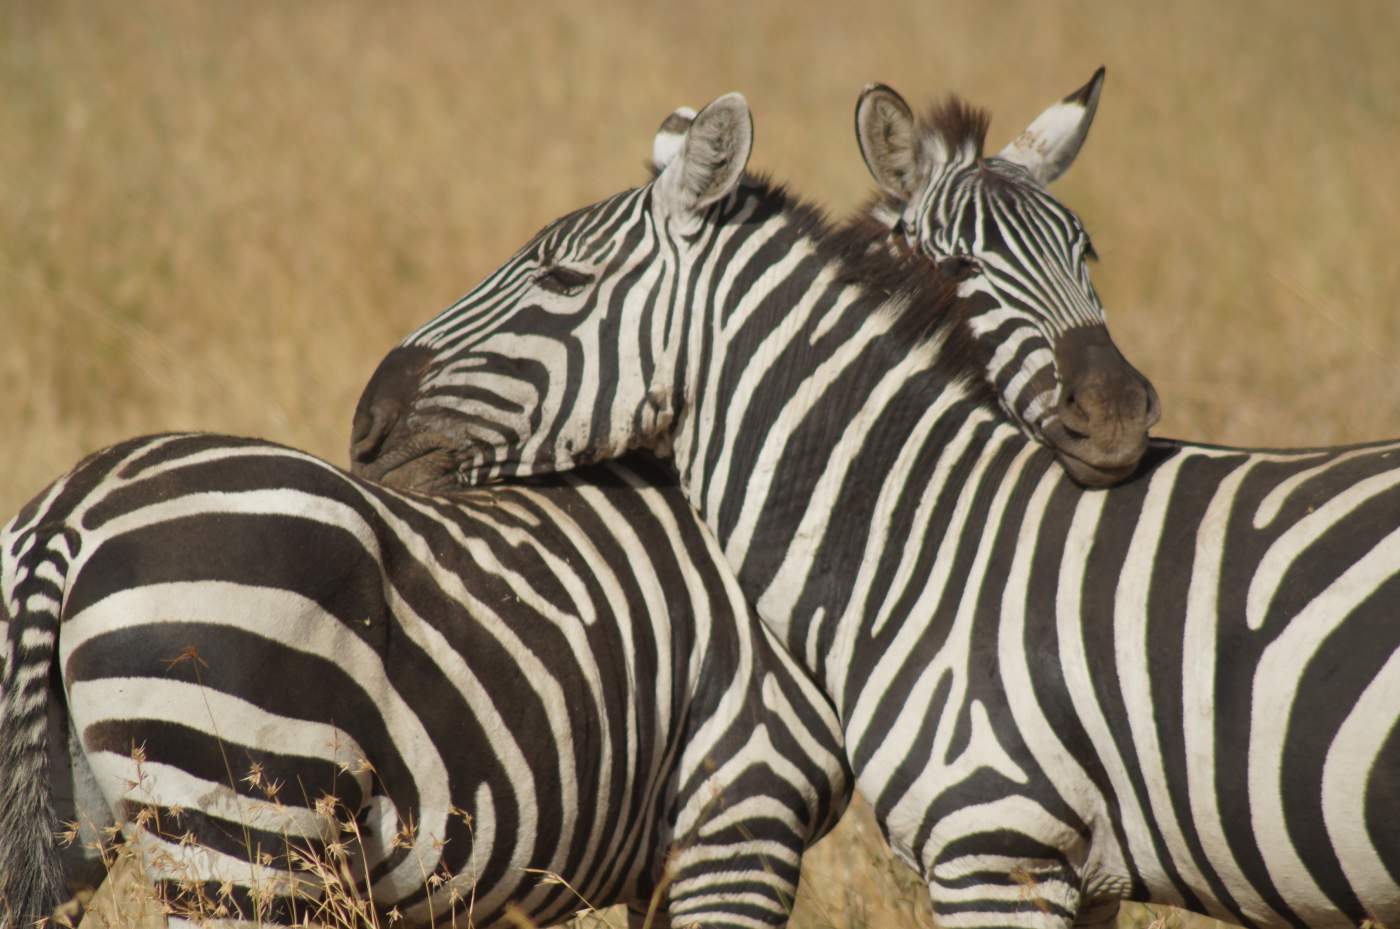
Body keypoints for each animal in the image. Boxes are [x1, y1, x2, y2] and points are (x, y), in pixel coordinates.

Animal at [350, 88, 1400, 929]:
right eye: (957, 266)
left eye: (563, 279)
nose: (363, 416)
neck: (924, 535)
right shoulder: (1054, 861)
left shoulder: (978, 838)